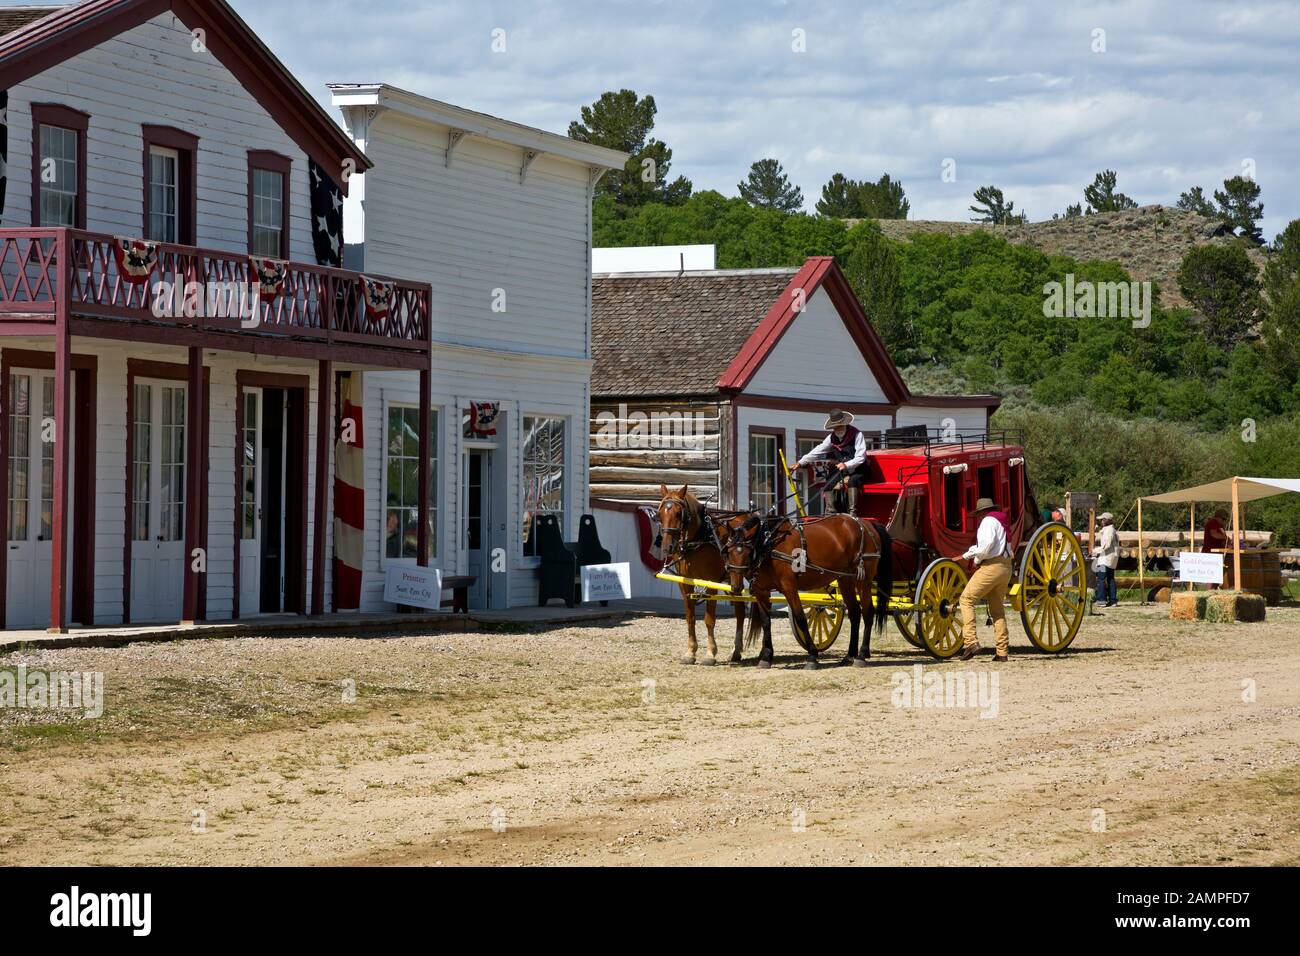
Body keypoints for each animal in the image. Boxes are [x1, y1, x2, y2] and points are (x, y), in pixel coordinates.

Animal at [660, 486, 754, 665]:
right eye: (659, 513)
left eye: (679, 513)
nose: (667, 547)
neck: (699, 537)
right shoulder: (684, 583)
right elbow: (690, 617)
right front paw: (690, 652)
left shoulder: (711, 583)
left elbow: (709, 619)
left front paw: (710, 654)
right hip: (733, 579)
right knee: (740, 611)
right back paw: (736, 651)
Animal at [717, 512, 889, 671]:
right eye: (728, 552)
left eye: (747, 552)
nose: (735, 587)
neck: (768, 545)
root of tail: (866, 524)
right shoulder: (761, 591)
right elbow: (766, 621)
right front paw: (766, 656)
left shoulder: (789, 586)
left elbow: (800, 618)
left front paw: (812, 656)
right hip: (845, 579)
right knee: (854, 613)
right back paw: (849, 655)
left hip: (863, 579)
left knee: (868, 612)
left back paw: (862, 654)